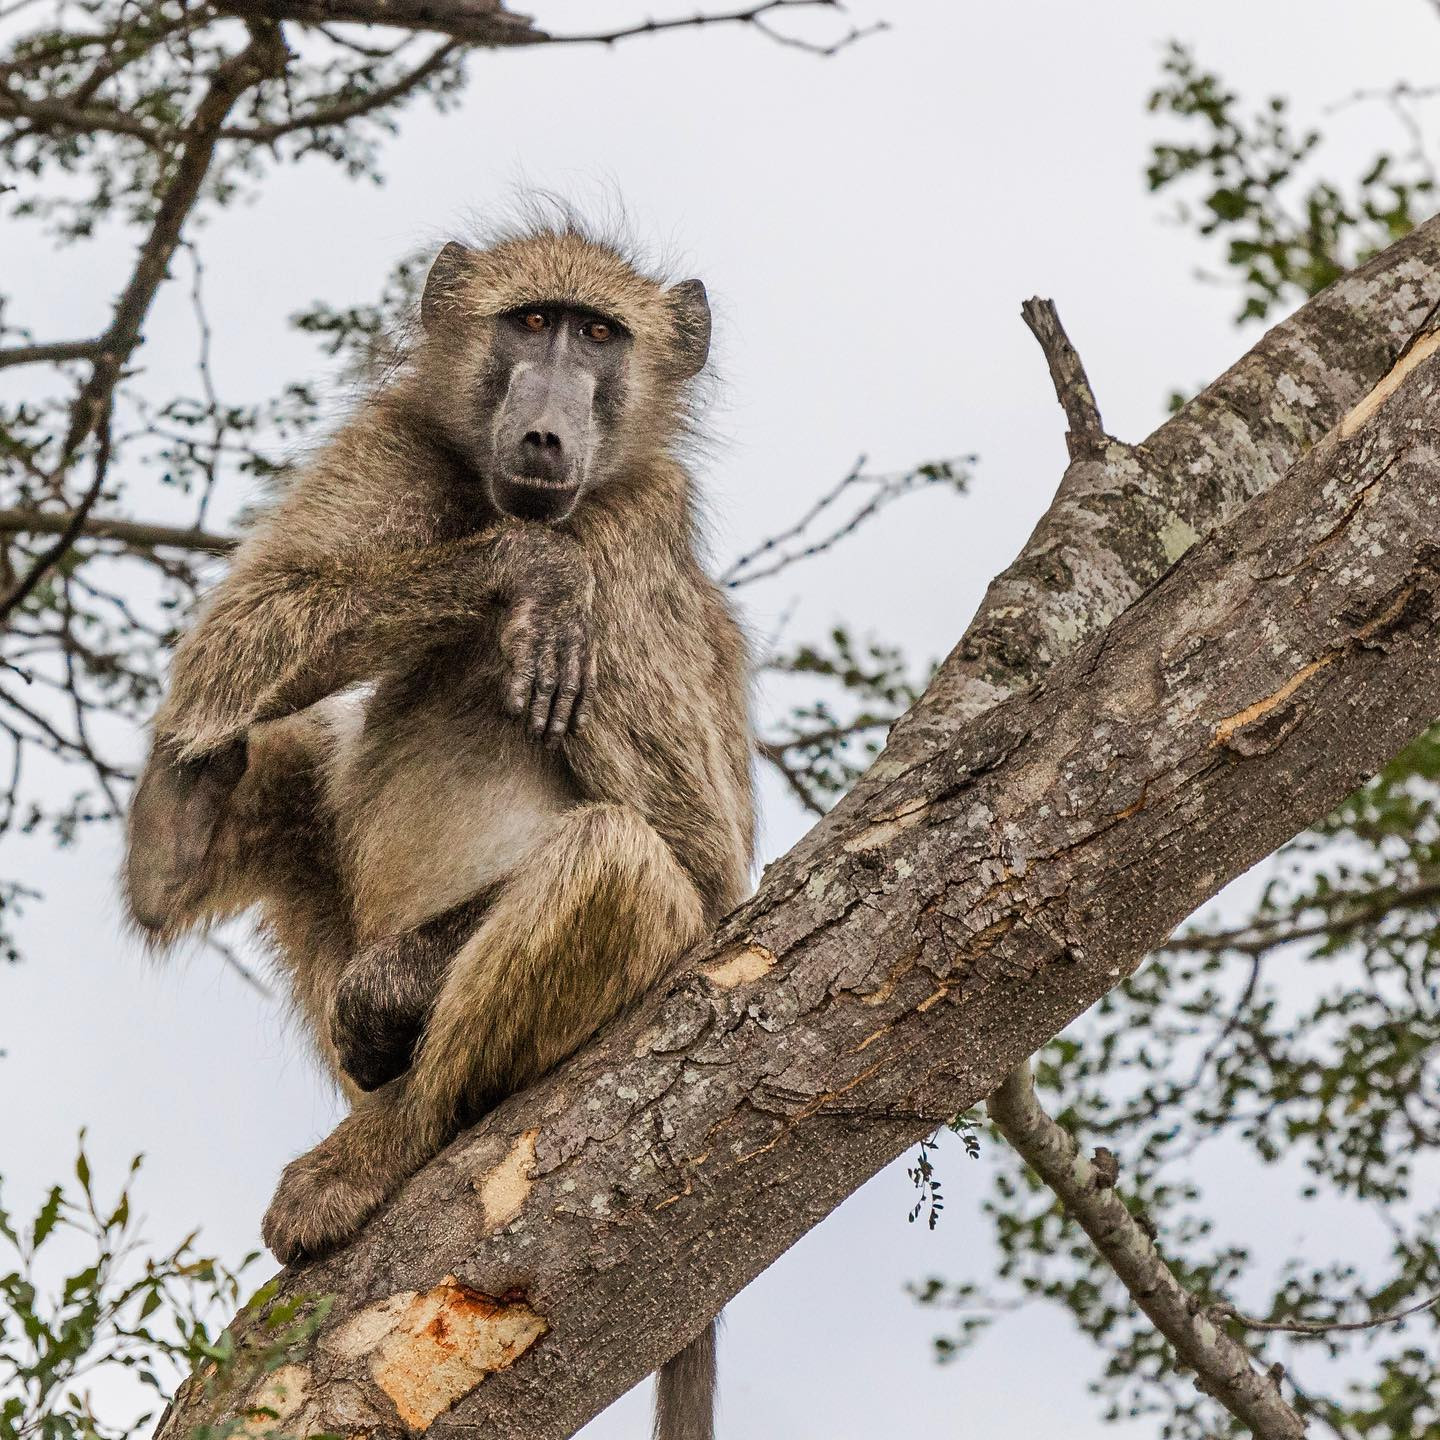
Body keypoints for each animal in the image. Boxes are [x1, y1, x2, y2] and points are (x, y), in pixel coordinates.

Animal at [122, 219, 754, 1440]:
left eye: (598, 336)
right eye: (532, 322)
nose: (546, 431)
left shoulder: (630, 533)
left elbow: (703, 874)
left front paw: (392, 993)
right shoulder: (400, 442)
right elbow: (245, 624)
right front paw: (525, 570)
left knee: (616, 859)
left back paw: (383, 1147)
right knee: (250, 738)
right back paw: (177, 829)